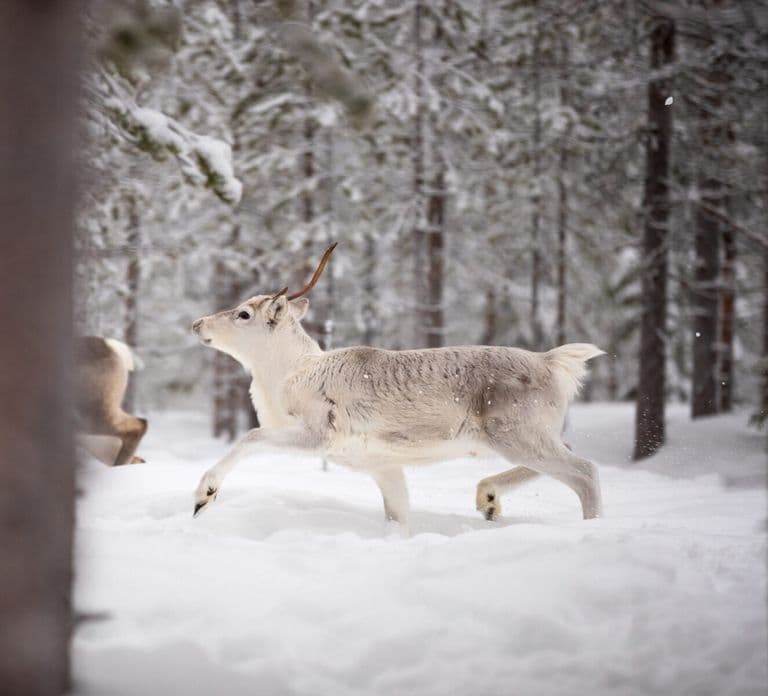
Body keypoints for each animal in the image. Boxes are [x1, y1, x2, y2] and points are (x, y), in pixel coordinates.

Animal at [192, 244, 604, 532]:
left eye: (244, 314)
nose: (198, 323)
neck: (289, 373)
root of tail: (551, 361)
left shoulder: (317, 435)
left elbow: (251, 437)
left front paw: (203, 496)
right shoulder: (384, 467)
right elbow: (399, 519)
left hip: (516, 435)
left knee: (585, 471)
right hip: (523, 437)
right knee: (570, 453)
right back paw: (487, 498)